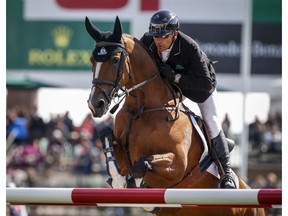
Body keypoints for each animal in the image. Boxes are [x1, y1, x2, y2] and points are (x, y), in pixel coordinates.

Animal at [84, 15, 266, 216]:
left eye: (116, 60)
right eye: (92, 59)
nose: (95, 104)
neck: (143, 110)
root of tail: (246, 186)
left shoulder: (177, 164)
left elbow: (141, 165)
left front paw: (138, 185)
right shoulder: (124, 157)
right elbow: (107, 137)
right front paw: (118, 180)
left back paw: (228, 182)